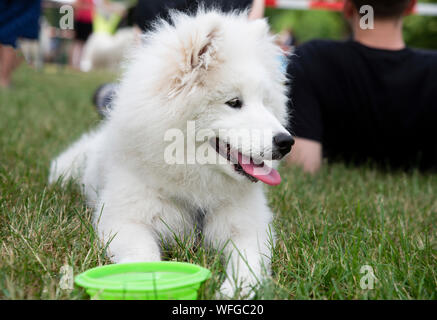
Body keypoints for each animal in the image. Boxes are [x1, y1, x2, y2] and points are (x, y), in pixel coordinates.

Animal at [50, 9, 292, 298]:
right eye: (234, 102)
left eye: (266, 103)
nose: (286, 142)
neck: (196, 185)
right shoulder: (125, 221)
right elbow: (143, 256)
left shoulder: (249, 227)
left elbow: (249, 263)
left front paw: (235, 291)